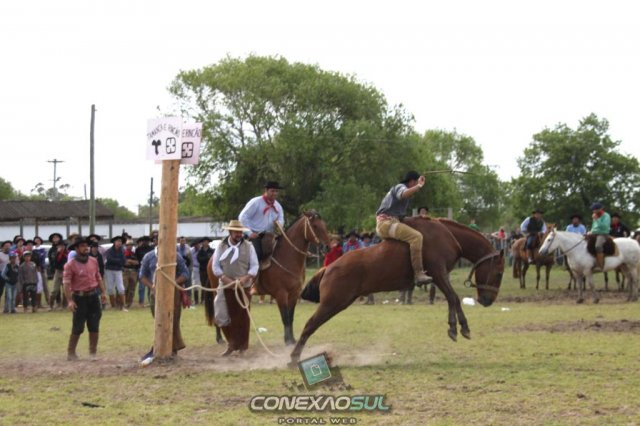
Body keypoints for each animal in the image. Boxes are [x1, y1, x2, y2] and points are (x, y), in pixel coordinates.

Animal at [205, 211, 331, 346]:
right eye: (315, 226)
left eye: (324, 225)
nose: (327, 247)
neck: (287, 257)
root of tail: (212, 258)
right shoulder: (281, 294)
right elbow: (285, 317)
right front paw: (287, 340)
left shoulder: (294, 293)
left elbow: (290, 317)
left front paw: (292, 339)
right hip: (218, 290)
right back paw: (220, 338)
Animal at [289, 217, 505, 363]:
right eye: (499, 272)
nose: (488, 300)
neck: (448, 235)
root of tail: (328, 268)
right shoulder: (438, 272)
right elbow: (454, 297)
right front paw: (460, 328)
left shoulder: (439, 276)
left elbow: (452, 298)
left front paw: (455, 327)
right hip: (332, 303)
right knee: (309, 325)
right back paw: (293, 358)